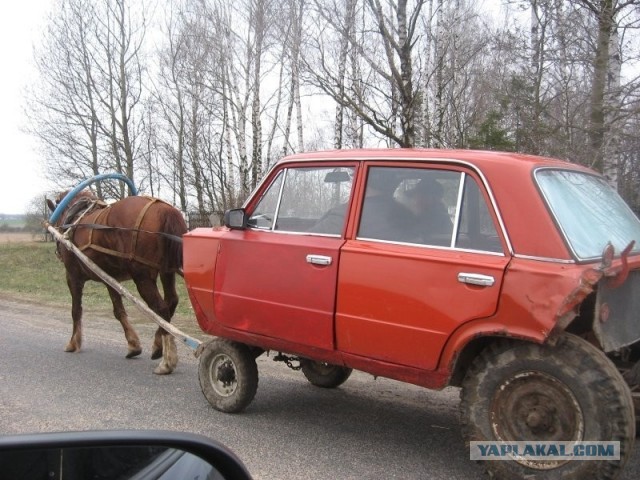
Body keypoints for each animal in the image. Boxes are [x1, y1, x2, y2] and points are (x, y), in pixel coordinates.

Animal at [47, 188, 188, 376]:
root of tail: (164, 210)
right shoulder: (109, 277)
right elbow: (118, 311)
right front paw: (133, 345)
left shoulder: (73, 276)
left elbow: (76, 310)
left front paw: (73, 343)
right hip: (167, 270)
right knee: (171, 302)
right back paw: (158, 345)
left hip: (142, 275)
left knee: (161, 309)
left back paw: (167, 361)